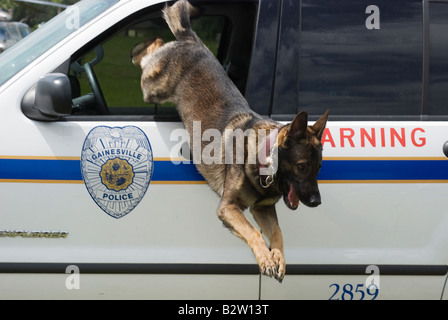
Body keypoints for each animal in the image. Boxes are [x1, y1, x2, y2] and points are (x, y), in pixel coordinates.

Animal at [131, 0, 328, 282]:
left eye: (319, 168)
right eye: (301, 166)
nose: (316, 202)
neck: (263, 160)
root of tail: (193, 41)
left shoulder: (262, 210)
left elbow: (277, 233)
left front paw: (278, 257)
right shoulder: (228, 208)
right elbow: (253, 231)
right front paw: (266, 258)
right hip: (153, 89)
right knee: (154, 48)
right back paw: (140, 47)